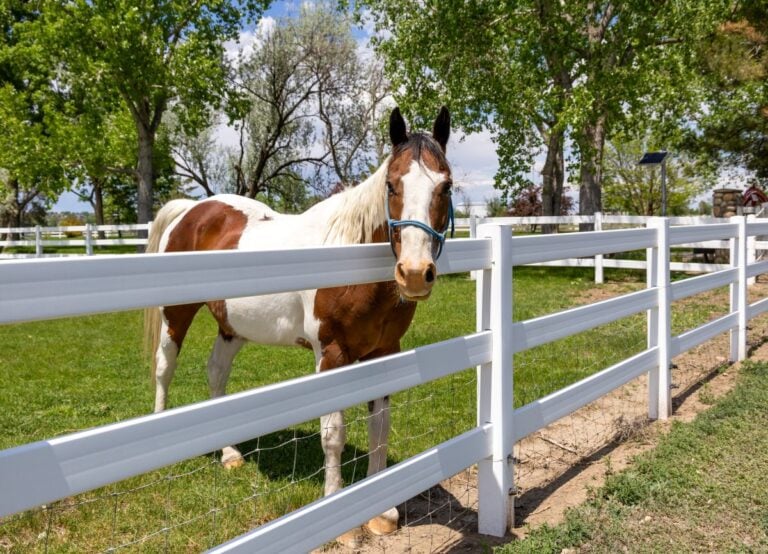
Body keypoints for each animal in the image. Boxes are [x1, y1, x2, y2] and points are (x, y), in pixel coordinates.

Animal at [144, 107, 454, 546]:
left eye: (446, 186)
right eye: (392, 185)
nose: (414, 273)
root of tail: (193, 211)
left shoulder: (384, 352)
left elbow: (379, 427)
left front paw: (382, 511)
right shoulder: (332, 354)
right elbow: (333, 433)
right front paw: (342, 518)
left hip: (231, 328)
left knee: (216, 373)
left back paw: (230, 455)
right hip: (177, 312)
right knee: (164, 366)